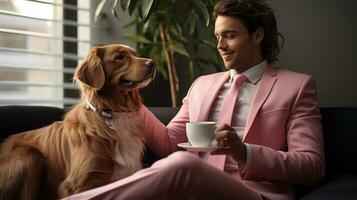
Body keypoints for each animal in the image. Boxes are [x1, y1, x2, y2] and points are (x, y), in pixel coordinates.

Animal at [0, 44, 156, 200]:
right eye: (120, 57)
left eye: (135, 54)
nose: (152, 63)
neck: (112, 113)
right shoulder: (77, 183)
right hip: (29, 155)